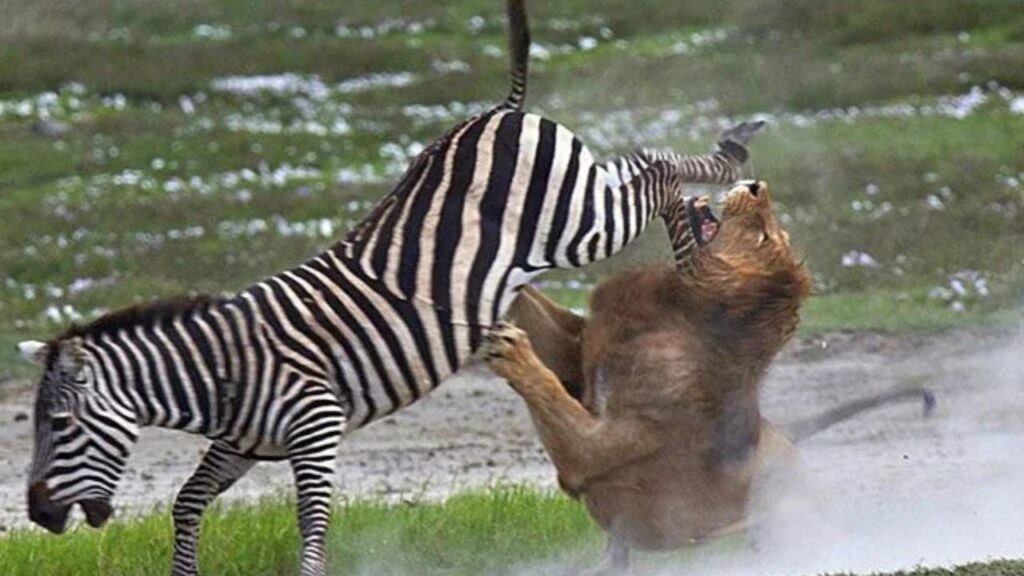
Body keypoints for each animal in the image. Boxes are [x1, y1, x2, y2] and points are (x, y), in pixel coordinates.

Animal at [12, 2, 761, 575]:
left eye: (58, 425)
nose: (39, 515)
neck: (223, 370)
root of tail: (499, 111)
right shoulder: (242, 443)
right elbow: (187, 504)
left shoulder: (315, 427)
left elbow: (312, 533)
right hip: (580, 200)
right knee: (643, 165)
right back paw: (701, 224)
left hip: (579, 221)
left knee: (655, 171)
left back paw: (716, 196)